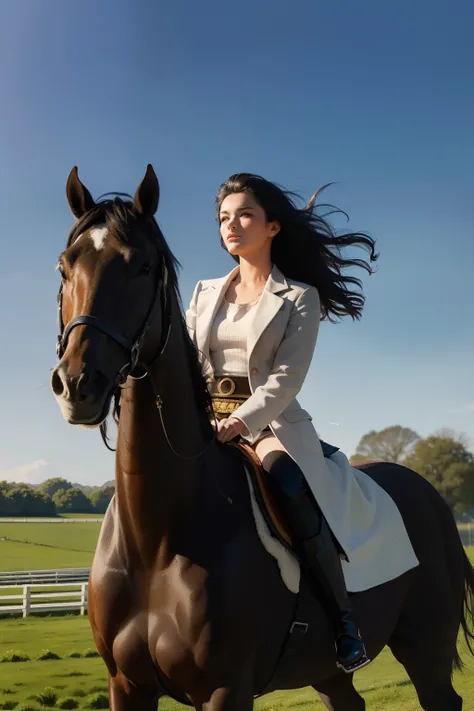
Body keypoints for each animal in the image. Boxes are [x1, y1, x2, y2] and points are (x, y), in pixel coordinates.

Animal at [51, 165, 474, 711]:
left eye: (142, 267)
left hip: (426, 648)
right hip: (328, 669)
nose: (77, 385)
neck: (157, 539)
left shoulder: (225, 690)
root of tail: (426, 491)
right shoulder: (125, 686)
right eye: (65, 267)